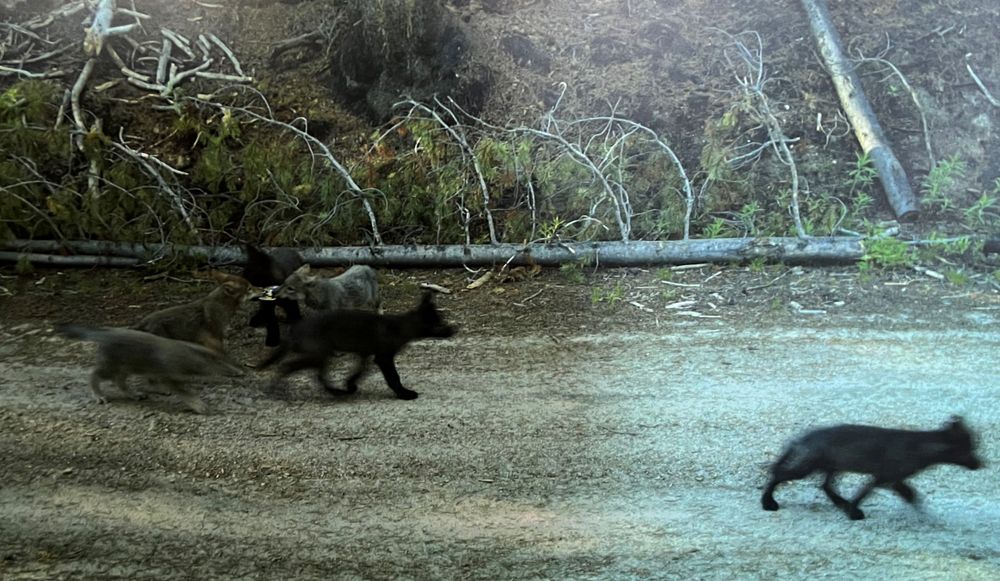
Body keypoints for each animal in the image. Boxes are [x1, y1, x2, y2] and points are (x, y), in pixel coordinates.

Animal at [55, 324, 244, 413]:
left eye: (230, 362)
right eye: (222, 363)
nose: (241, 372)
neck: (186, 356)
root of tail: (105, 332)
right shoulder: (169, 377)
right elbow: (187, 393)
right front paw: (199, 406)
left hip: (127, 367)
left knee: (120, 382)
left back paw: (134, 394)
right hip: (112, 367)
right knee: (93, 376)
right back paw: (98, 395)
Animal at [259, 292, 455, 400]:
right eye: (438, 324)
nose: (454, 329)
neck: (400, 327)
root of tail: (295, 329)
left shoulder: (366, 354)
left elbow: (360, 372)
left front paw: (350, 383)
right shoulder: (384, 357)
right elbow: (394, 377)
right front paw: (404, 394)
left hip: (320, 355)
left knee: (313, 374)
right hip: (319, 353)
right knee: (292, 368)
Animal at [761, 416, 983, 520]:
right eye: (967, 449)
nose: (981, 463)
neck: (919, 446)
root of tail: (802, 438)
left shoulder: (894, 479)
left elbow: (911, 495)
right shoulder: (884, 476)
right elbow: (865, 492)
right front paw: (853, 511)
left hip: (832, 467)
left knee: (825, 486)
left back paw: (840, 503)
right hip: (809, 466)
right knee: (778, 474)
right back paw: (768, 502)